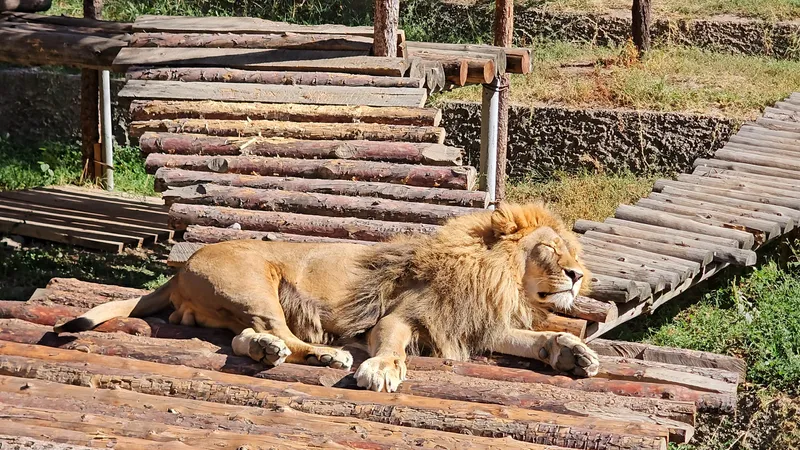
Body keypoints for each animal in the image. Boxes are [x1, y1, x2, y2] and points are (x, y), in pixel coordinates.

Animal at [54, 202, 600, 392]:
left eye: (572, 252)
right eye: (549, 251)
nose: (577, 275)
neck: (497, 281)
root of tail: (184, 266)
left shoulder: (476, 324)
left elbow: (530, 340)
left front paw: (571, 352)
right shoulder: (403, 316)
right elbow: (392, 345)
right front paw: (381, 369)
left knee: (245, 338)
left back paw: (266, 351)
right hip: (256, 285)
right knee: (278, 332)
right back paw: (325, 355)